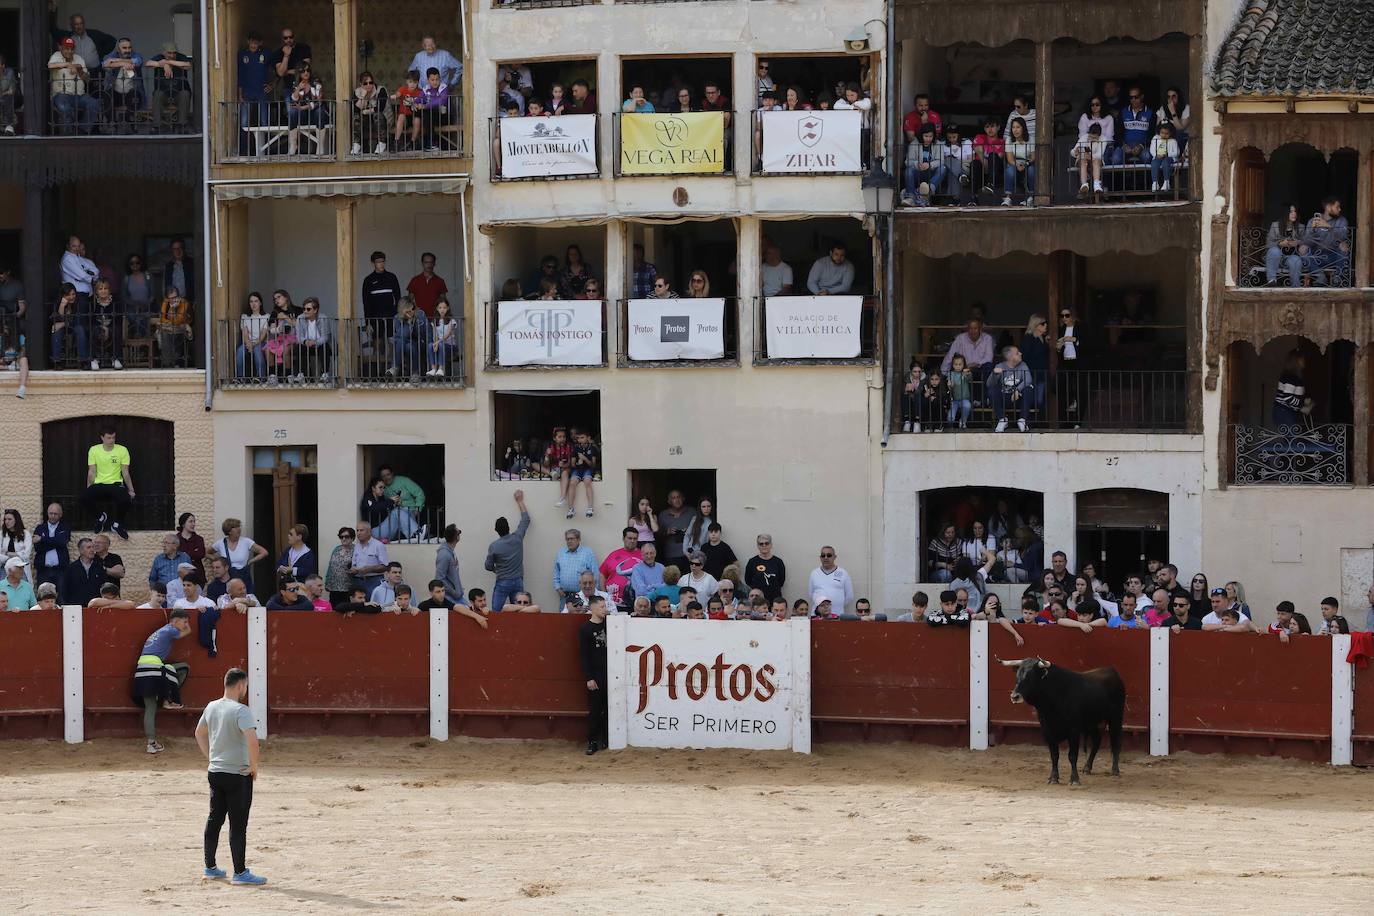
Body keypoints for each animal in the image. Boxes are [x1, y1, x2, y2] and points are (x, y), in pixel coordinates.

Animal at [1000, 656, 1126, 785]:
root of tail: (1111, 670)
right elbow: (1054, 755)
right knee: (1097, 740)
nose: (1014, 696)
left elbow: (1072, 756)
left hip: (1116, 716)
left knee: (1116, 741)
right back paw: (1087, 768)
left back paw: (1115, 770)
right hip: (1091, 723)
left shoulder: (1073, 731)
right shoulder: (1047, 731)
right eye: (1017, 677)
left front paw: (1074, 779)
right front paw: (1053, 778)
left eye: (1030, 677)